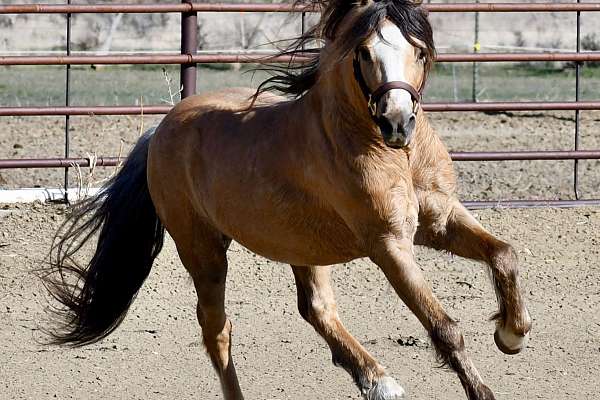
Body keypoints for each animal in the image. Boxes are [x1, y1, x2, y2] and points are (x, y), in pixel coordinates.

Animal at [42, 0, 528, 400]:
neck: (394, 156)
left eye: (420, 51)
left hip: (303, 246)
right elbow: (444, 327)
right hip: (203, 251)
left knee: (316, 309)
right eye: (365, 53)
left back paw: (377, 381)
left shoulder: (439, 220)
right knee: (217, 330)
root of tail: (161, 130)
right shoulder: (389, 244)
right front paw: (484, 388)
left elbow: (504, 254)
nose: (398, 123)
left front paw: (512, 334)